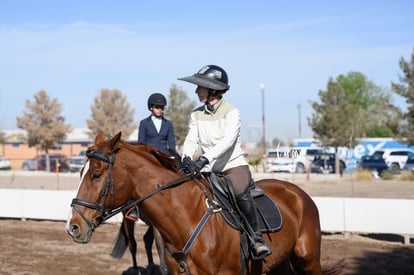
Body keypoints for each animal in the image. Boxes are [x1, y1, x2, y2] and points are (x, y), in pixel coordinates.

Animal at [68, 132, 338, 275]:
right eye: (81, 172)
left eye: (96, 175)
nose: (73, 227)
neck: (185, 217)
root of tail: (298, 193)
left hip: (308, 260)